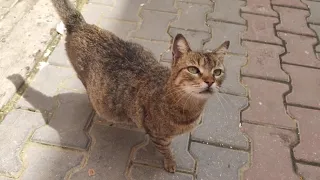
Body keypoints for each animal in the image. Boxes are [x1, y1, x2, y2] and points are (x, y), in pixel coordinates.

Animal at [51, 0, 229, 173]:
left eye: (217, 72)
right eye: (193, 69)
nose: (210, 81)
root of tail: (80, 25)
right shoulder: (158, 136)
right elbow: (166, 150)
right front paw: (170, 162)